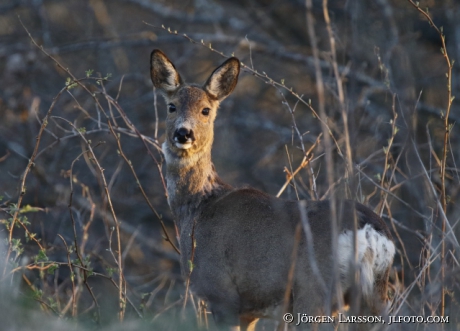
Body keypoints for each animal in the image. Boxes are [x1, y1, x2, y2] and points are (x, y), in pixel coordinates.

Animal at [151, 50, 396, 331]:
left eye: (205, 110)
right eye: (171, 106)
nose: (183, 133)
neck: (199, 208)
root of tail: (369, 232)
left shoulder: (222, 292)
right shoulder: (249, 309)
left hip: (314, 288)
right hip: (373, 294)